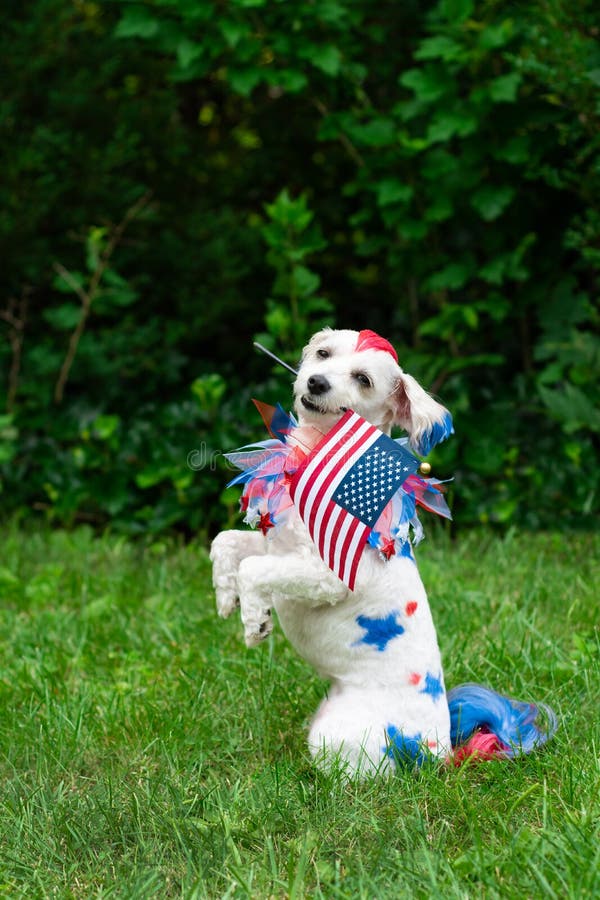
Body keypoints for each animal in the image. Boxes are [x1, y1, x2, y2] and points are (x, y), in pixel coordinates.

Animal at [212, 326, 556, 776]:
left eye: (363, 379)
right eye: (323, 354)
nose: (316, 382)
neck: (316, 455)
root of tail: (439, 752)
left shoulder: (328, 573)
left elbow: (254, 568)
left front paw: (256, 621)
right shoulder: (276, 540)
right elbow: (227, 543)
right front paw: (225, 595)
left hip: (336, 734)